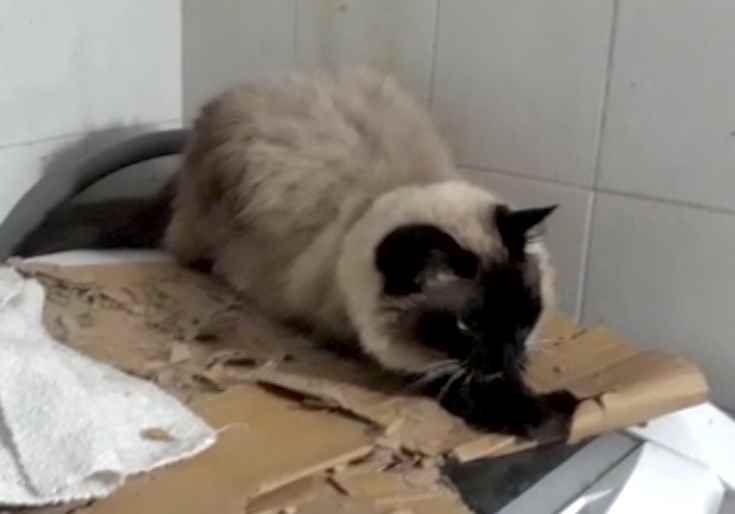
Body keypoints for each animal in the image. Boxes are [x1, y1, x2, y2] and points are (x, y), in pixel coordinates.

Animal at [23, 69, 567, 435]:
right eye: (467, 325)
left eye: (525, 313)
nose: (511, 353)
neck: (383, 195)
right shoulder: (351, 335)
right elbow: (441, 379)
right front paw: (532, 412)